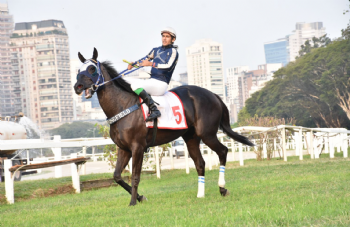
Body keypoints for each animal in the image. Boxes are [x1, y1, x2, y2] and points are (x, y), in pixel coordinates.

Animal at [74, 48, 254, 207]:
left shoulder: (138, 147)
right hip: (191, 137)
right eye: (78, 69)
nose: (78, 86)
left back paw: (222, 188)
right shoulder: (123, 148)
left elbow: (135, 176)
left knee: (223, 151)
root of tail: (214, 95)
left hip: (207, 134)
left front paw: (133, 202)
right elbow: (117, 176)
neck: (123, 105)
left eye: (92, 68)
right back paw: (200, 194)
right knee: (200, 163)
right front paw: (140, 197)